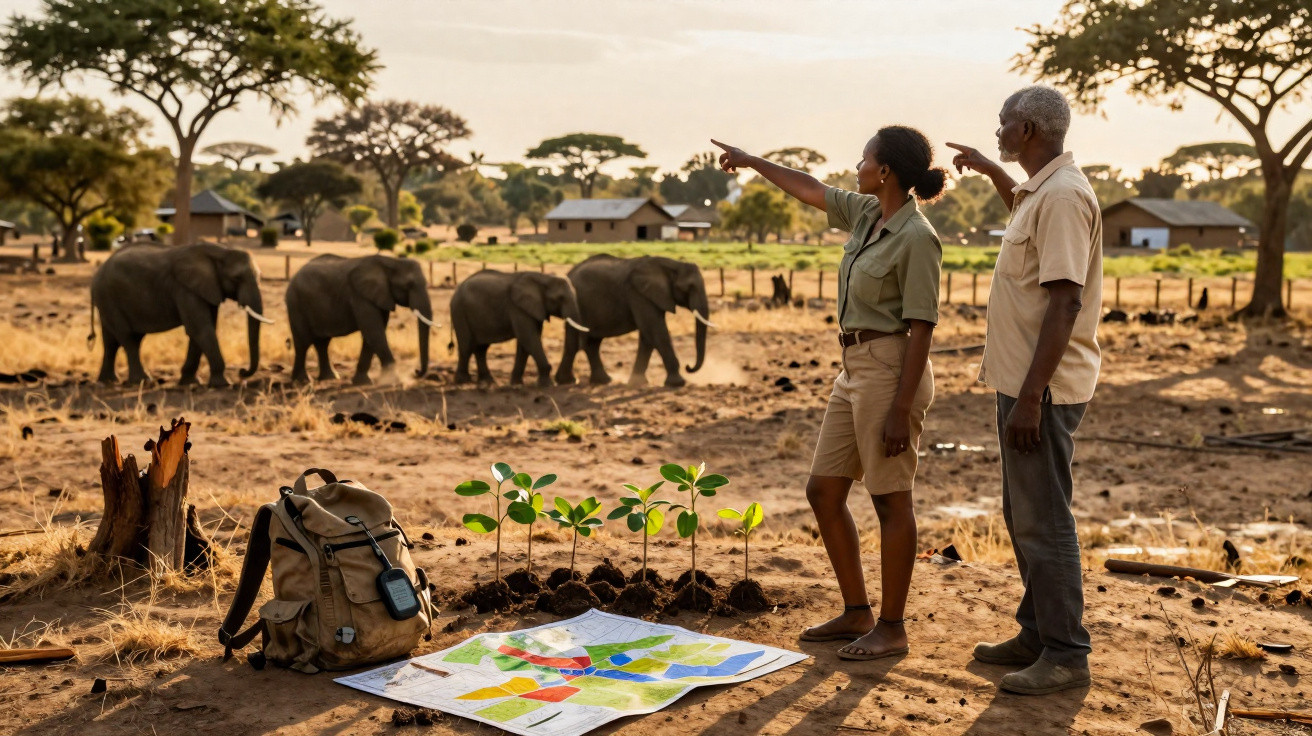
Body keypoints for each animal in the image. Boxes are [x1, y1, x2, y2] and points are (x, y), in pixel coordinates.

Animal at [90, 243, 270, 387]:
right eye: (236, 278)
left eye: (260, 277)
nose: (242, 371)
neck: (220, 251)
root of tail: (98, 272)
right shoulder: (185, 289)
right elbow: (201, 329)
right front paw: (222, 384)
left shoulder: (206, 289)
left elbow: (202, 330)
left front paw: (190, 382)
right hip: (108, 296)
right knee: (128, 338)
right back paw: (142, 381)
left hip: (107, 299)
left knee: (112, 341)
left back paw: (108, 381)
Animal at [285, 254, 435, 385]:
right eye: (409, 285)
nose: (416, 371)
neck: (390, 262)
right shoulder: (360, 296)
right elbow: (374, 332)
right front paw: (394, 381)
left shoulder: (380, 296)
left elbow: (373, 335)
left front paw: (364, 382)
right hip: (296, 304)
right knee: (303, 343)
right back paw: (302, 381)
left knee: (322, 343)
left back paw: (330, 378)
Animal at [449, 270, 589, 386]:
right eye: (560, 298)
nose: (574, 380)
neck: (542, 277)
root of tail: (456, 291)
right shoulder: (517, 307)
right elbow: (528, 337)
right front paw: (547, 385)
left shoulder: (533, 308)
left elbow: (526, 343)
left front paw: (516, 383)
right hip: (459, 311)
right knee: (466, 346)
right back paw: (463, 381)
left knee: (481, 349)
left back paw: (488, 382)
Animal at [555, 255, 711, 388]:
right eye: (690, 287)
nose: (688, 367)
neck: (671, 264)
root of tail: (569, 273)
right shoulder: (638, 294)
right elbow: (655, 331)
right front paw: (677, 383)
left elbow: (648, 336)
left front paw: (637, 383)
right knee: (579, 343)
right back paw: (572, 382)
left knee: (588, 343)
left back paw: (599, 381)